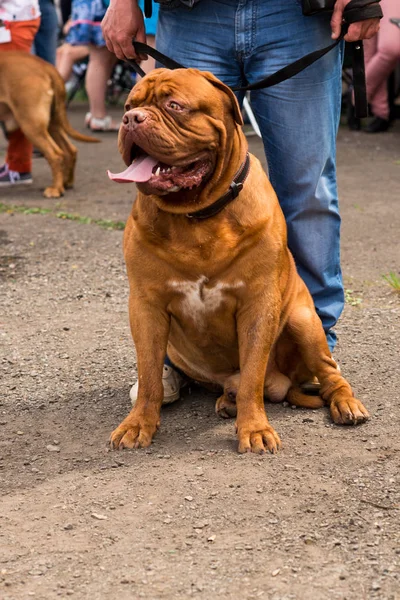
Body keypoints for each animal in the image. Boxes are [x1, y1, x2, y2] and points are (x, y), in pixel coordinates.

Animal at [0, 51, 99, 197]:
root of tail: (45, 66)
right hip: (52, 125)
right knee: (69, 150)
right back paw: (66, 183)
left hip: (32, 125)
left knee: (55, 154)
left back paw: (55, 189)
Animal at [108, 69, 368, 454]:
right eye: (129, 106)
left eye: (175, 106)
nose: (131, 119)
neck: (197, 215)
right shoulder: (145, 305)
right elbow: (149, 373)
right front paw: (139, 423)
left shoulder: (257, 304)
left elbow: (252, 377)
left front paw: (255, 428)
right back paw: (227, 401)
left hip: (305, 321)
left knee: (325, 371)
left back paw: (345, 403)